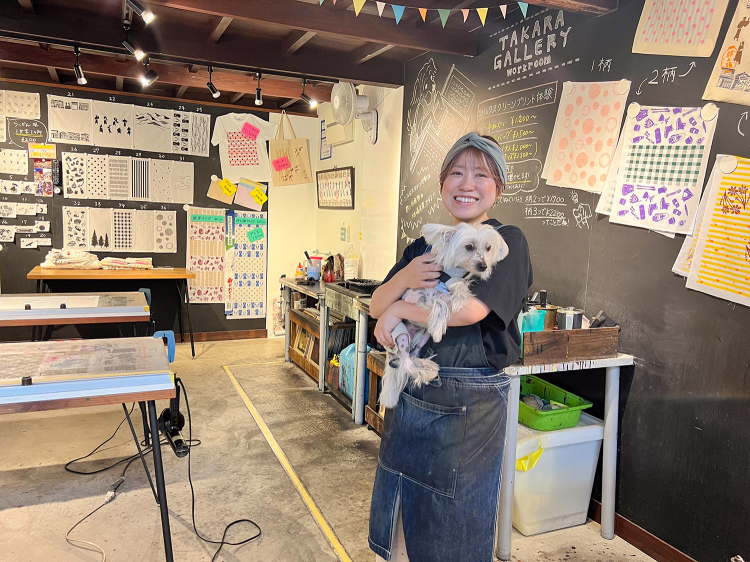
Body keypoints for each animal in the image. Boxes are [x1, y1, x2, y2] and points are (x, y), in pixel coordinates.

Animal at [382, 220, 512, 406]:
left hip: (423, 337)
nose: (483, 266)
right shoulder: (413, 296)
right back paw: (422, 370)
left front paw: (458, 296)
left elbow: (454, 290)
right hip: (401, 335)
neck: (451, 273)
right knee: (406, 361)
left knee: (414, 354)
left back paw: (427, 366)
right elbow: (437, 301)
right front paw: (440, 320)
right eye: (469, 246)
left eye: (488, 248)